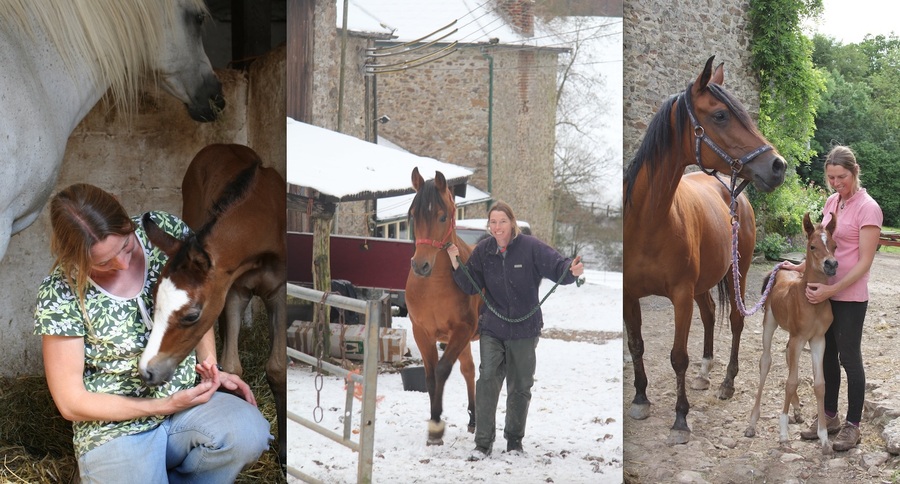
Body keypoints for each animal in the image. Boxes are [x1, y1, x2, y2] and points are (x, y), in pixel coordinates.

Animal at [138, 144, 286, 464]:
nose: (147, 371)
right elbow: (231, 366)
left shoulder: (278, 292)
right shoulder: (232, 292)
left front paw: (284, 452)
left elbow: (278, 368)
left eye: (191, 315)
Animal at [405, 167, 480, 445]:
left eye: (442, 216)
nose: (421, 265)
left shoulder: (462, 330)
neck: (433, 287)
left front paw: (437, 426)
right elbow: (429, 378)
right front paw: (433, 425)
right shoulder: (422, 332)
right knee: (469, 370)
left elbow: (442, 370)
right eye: (413, 215)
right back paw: (473, 419)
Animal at [623, 56, 787, 445]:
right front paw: (640, 399)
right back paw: (705, 371)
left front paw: (680, 420)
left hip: (735, 272)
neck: (648, 220)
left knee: (735, 320)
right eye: (721, 115)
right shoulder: (628, 295)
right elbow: (636, 345)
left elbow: (678, 356)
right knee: (711, 313)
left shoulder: (681, 295)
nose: (778, 166)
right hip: (704, 282)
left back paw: (726, 381)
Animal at [745, 212, 838, 454]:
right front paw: (783, 434)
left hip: (794, 337)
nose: (832, 264)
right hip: (770, 322)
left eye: (834, 245)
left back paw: (796, 410)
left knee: (787, 356)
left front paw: (824, 437)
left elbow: (819, 384)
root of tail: (780, 268)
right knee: (766, 362)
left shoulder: (817, 339)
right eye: (813, 246)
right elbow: (791, 382)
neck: (812, 302)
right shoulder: (799, 337)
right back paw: (752, 423)